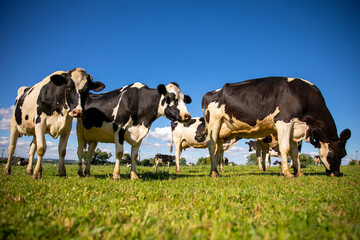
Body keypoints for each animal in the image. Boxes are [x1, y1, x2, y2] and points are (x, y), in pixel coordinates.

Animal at [201, 77, 350, 178]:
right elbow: (285, 148)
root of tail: (211, 92)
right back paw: (214, 173)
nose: (336, 173)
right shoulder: (283, 120)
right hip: (214, 122)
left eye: (344, 154)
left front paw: (299, 173)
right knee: (212, 146)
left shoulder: (295, 129)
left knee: (217, 150)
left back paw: (214, 171)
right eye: (335, 154)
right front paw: (287, 173)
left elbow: (295, 153)